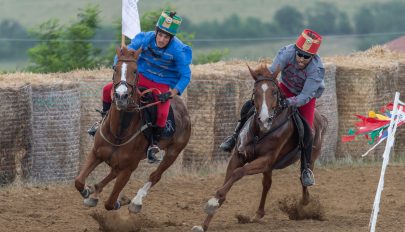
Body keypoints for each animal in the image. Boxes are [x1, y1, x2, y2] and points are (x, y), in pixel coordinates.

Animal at [74, 46, 191, 212]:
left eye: (135, 71)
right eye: (115, 68)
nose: (121, 95)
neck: (118, 133)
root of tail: (185, 111)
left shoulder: (129, 169)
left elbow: (110, 203)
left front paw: (119, 201)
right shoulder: (96, 153)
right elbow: (78, 181)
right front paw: (86, 191)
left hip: (173, 152)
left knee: (155, 176)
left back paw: (136, 201)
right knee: (113, 171)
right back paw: (95, 193)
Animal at [191, 62, 326, 231]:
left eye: (274, 92)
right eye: (255, 92)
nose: (264, 119)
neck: (259, 132)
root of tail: (321, 117)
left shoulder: (265, 160)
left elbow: (238, 173)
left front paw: (212, 203)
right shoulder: (239, 156)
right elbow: (228, 180)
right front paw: (205, 222)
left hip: (309, 157)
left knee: (303, 178)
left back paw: (303, 203)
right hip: (269, 167)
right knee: (267, 184)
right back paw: (258, 214)